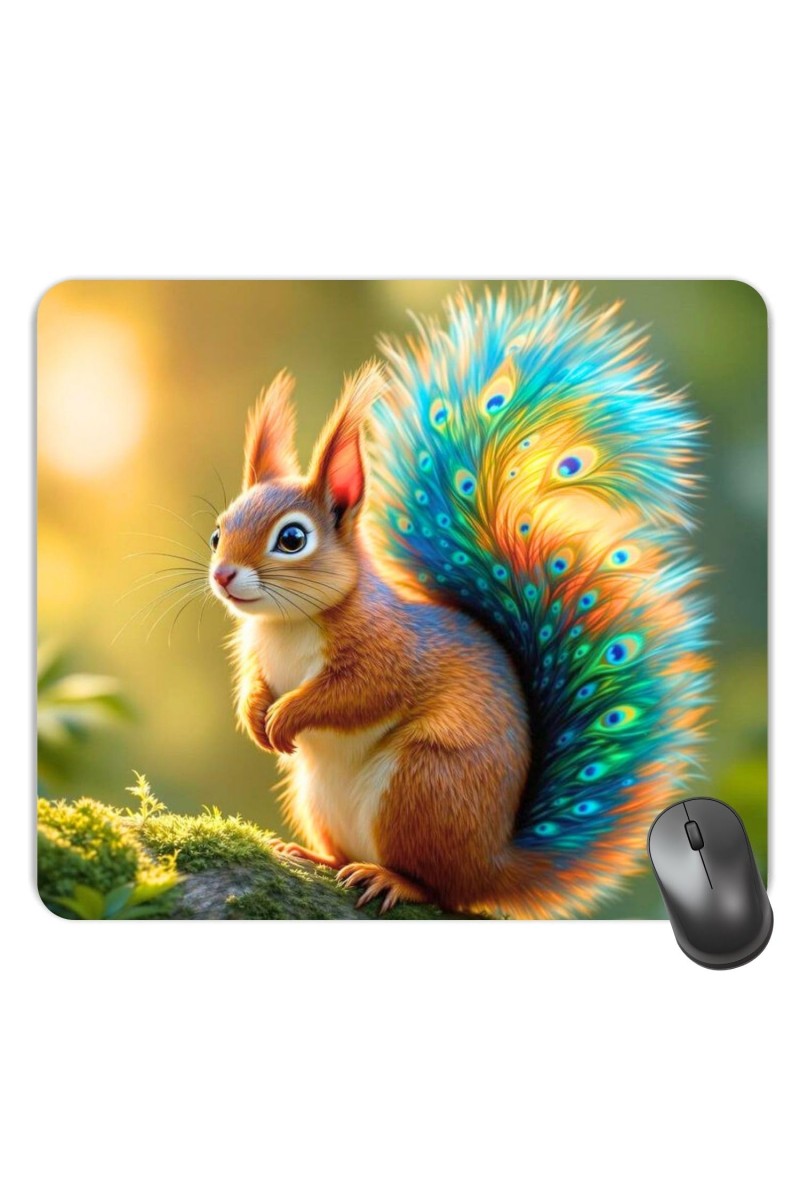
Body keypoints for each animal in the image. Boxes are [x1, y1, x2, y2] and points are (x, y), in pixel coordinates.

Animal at [208, 284, 711, 917]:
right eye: (218, 532)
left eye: (293, 539)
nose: (223, 575)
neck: (288, 624)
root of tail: (490, 865)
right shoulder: (255, 652)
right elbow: (254, 682)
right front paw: (255, 714)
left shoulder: (389, 650)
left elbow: (357, 693)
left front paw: (287, 714)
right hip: (318, 794)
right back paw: (316, 856)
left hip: (426, 782)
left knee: (439, 887)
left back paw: (392, 879)